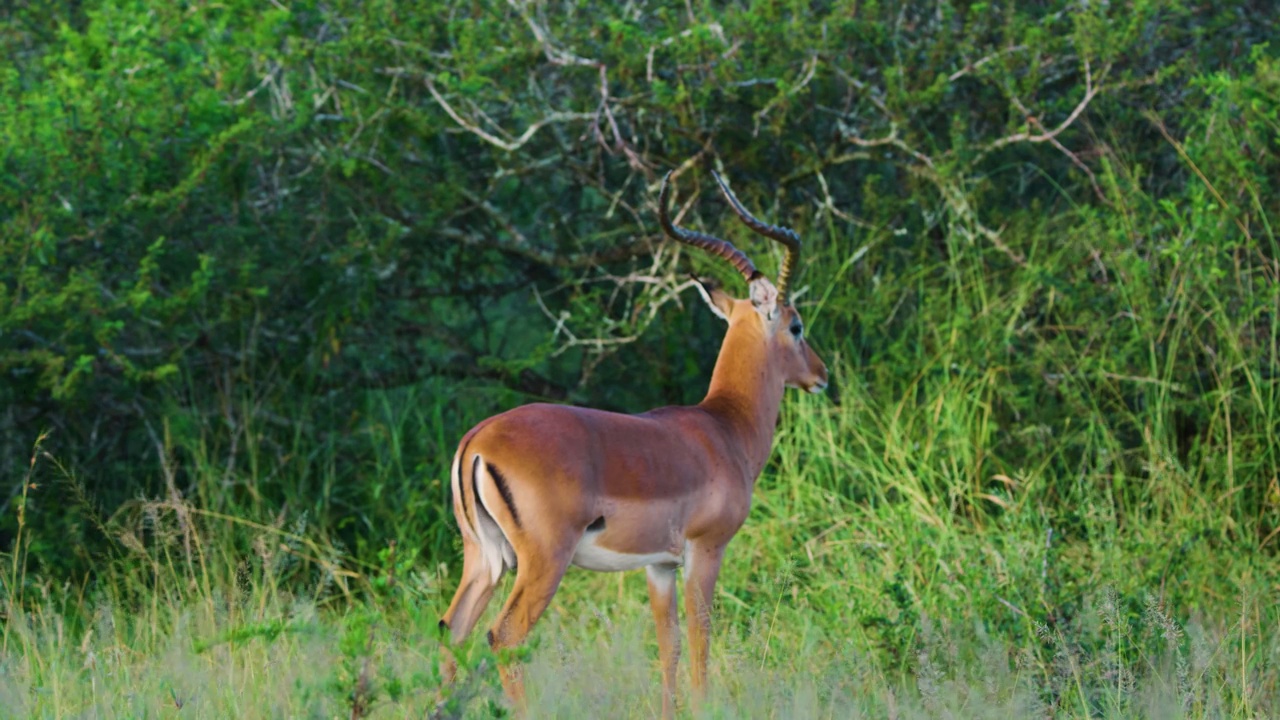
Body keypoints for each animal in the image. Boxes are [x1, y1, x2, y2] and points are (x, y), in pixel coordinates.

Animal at [440, 167, 829, 712]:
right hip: (543, 561)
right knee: (504, 637)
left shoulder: (658, 566)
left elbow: (668, 649)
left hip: (483, 558)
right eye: (796, 325)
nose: (821, 375)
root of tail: (476, 441)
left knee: (451, 631)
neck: (723, 427)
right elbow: (701, 641)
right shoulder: (704, 551)